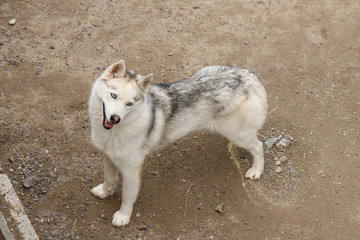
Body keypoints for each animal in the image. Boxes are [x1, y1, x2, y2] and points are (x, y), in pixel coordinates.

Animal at [88, 59, 268, 226]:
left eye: (130, 104)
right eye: (113, 95)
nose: (115, 118)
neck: (112, 132)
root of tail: (252, 78)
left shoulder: (131, 169)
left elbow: (127, 196)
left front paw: (123, 217)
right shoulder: (109, 157)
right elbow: (109, 179)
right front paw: (104, 192)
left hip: (238, 135)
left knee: (258, 147)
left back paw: (256, 171)